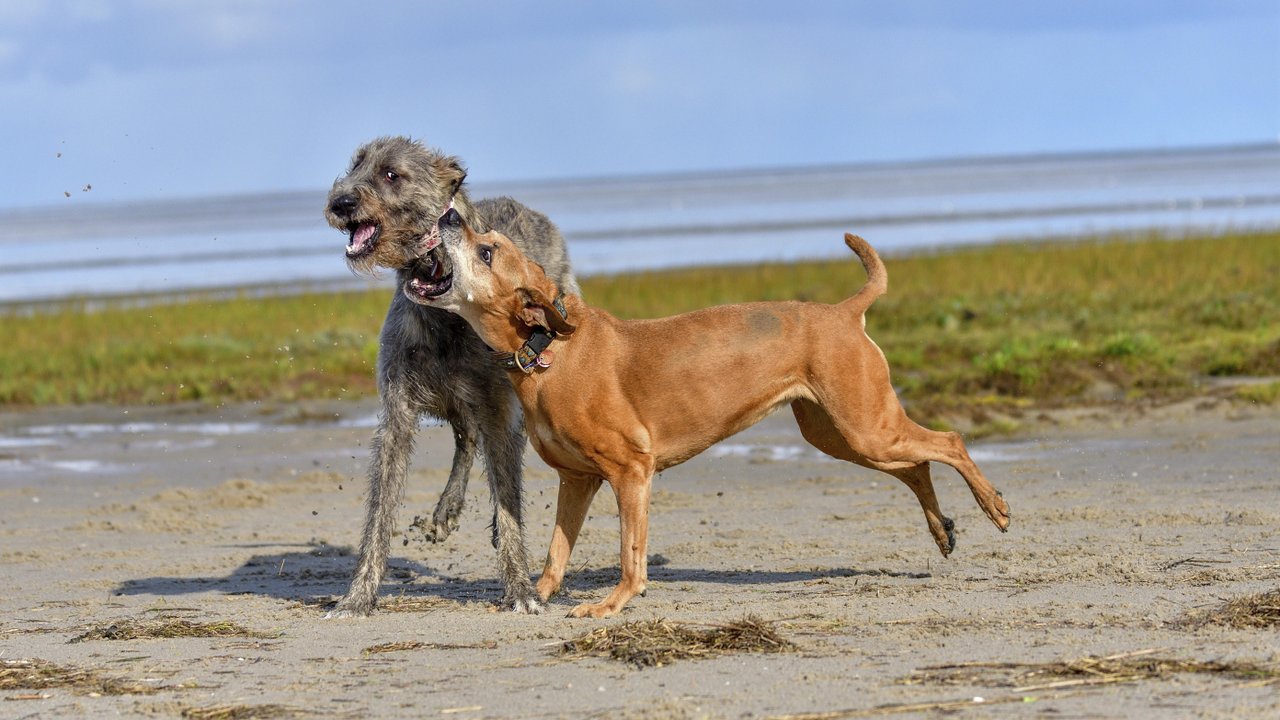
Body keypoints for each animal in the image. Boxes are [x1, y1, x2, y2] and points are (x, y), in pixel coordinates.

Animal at [322, 137, 578, 614]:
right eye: (356, 164)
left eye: (391, 174)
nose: (340, 202)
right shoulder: (399, 409)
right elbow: (379, 509)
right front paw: (358, 595)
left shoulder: (498, 405)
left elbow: (509, 492)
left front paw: (520, 588)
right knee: (466, 438)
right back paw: (447, 509)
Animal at [407, 208, 1008, 617]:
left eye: (488, 251)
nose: (449, 214)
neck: (547, 347)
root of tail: (843, 312)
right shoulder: (577, 480)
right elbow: (557, 551)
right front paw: (536, 596)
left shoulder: (631, 473)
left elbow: (630, 551)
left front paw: (611, 604)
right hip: (845, 436)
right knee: (918, 464)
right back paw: (943, 532)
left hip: (866, 428)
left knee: (949, 442)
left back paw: (995, 508)